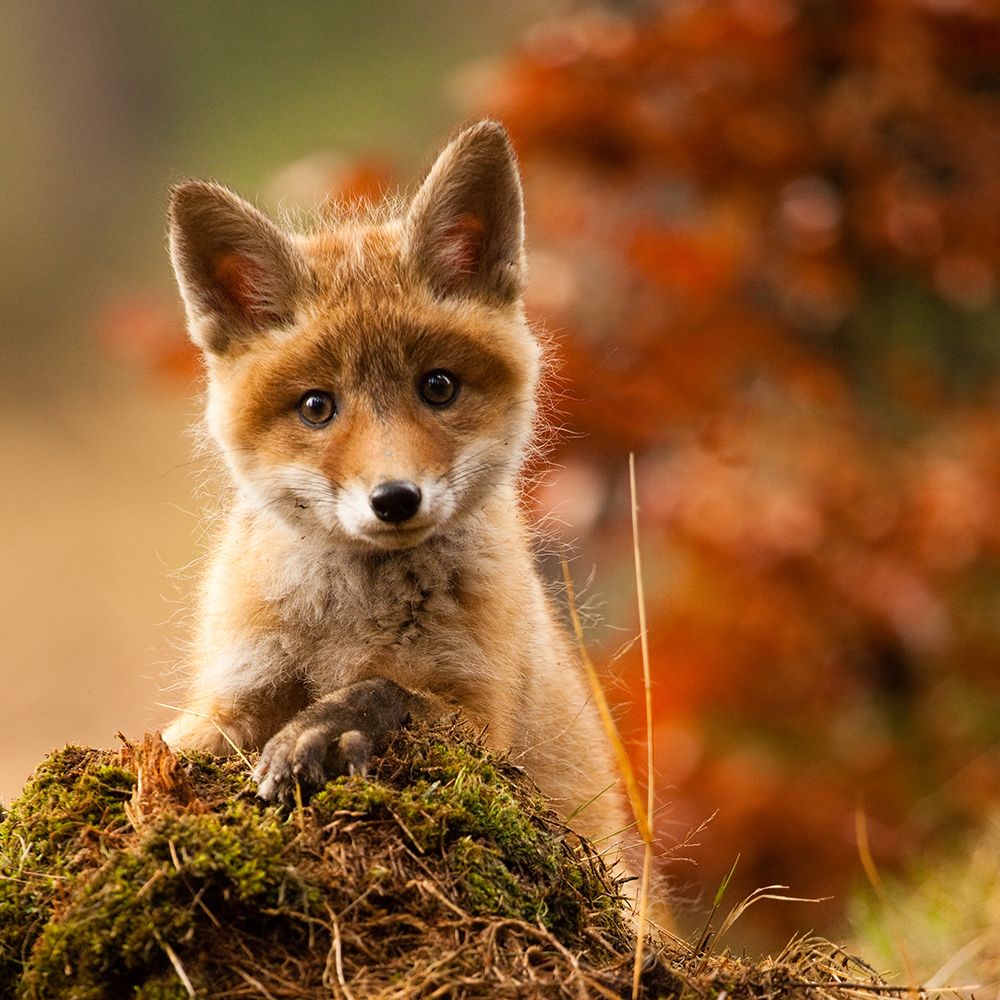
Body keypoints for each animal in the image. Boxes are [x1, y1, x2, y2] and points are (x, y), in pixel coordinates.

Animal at [165, 119, 632, 876]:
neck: (348, 622)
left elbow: (387, 691)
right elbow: (171, 745)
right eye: (317, 406)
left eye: (437, 387)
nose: (394, 499)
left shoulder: (483, 720)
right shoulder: (231, 693)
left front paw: (324, 731)